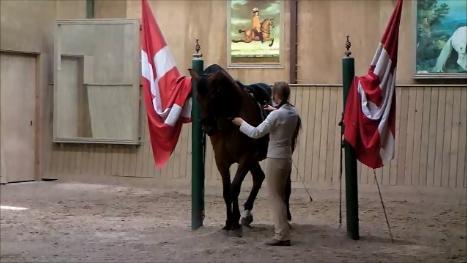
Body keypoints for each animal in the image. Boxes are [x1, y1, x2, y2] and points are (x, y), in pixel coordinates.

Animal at [189, 64, 300, 237]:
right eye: (198, 97)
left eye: (214, 95)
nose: (207, 126)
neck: (230, 123)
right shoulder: (222, 161)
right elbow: (227, 190)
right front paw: (230, 221)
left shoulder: (245, 158)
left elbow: (234, 188)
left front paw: (233, 221)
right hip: (254, 160)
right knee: (259, 177)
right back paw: (247, 214)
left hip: (281, 154)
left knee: (284, 184)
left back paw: (286, 217)